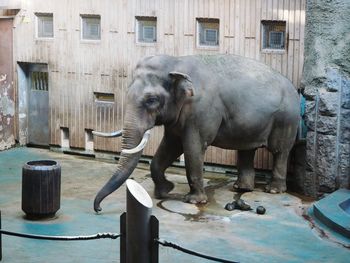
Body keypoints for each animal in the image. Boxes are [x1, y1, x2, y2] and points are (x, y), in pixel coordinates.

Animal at [92, 54, 298, 213]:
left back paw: (273, 190)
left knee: (280, 151)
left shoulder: (201, 110)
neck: (176, 62)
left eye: (151, 100)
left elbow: (193, 147)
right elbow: (170, 146)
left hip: (286, 119)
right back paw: (241, 187)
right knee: (247, 149)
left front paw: (193, 201)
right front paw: (165, 191)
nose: (99, 208)